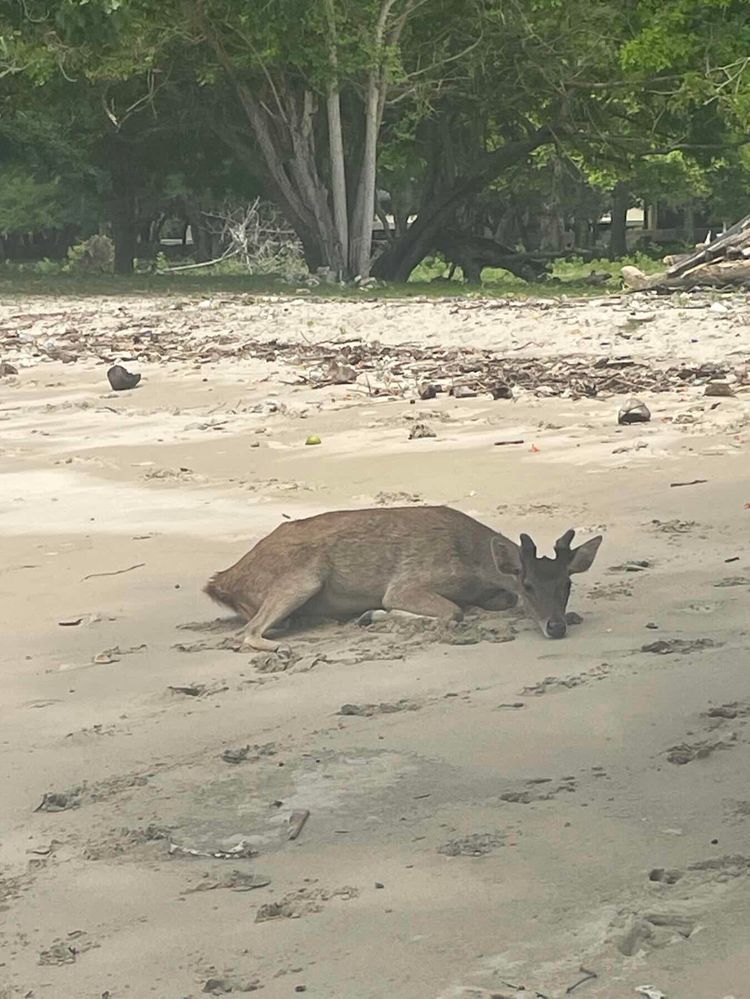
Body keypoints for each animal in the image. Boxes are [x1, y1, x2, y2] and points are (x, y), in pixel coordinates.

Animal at [206, 504, 604, 652]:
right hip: (302, 578)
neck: (473, 564)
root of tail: (222, 582)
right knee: (246, 633)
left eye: (568, 584)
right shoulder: (407, 582)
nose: (555, 626)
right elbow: (452, 612)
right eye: (528, 585)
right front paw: (372, 615)